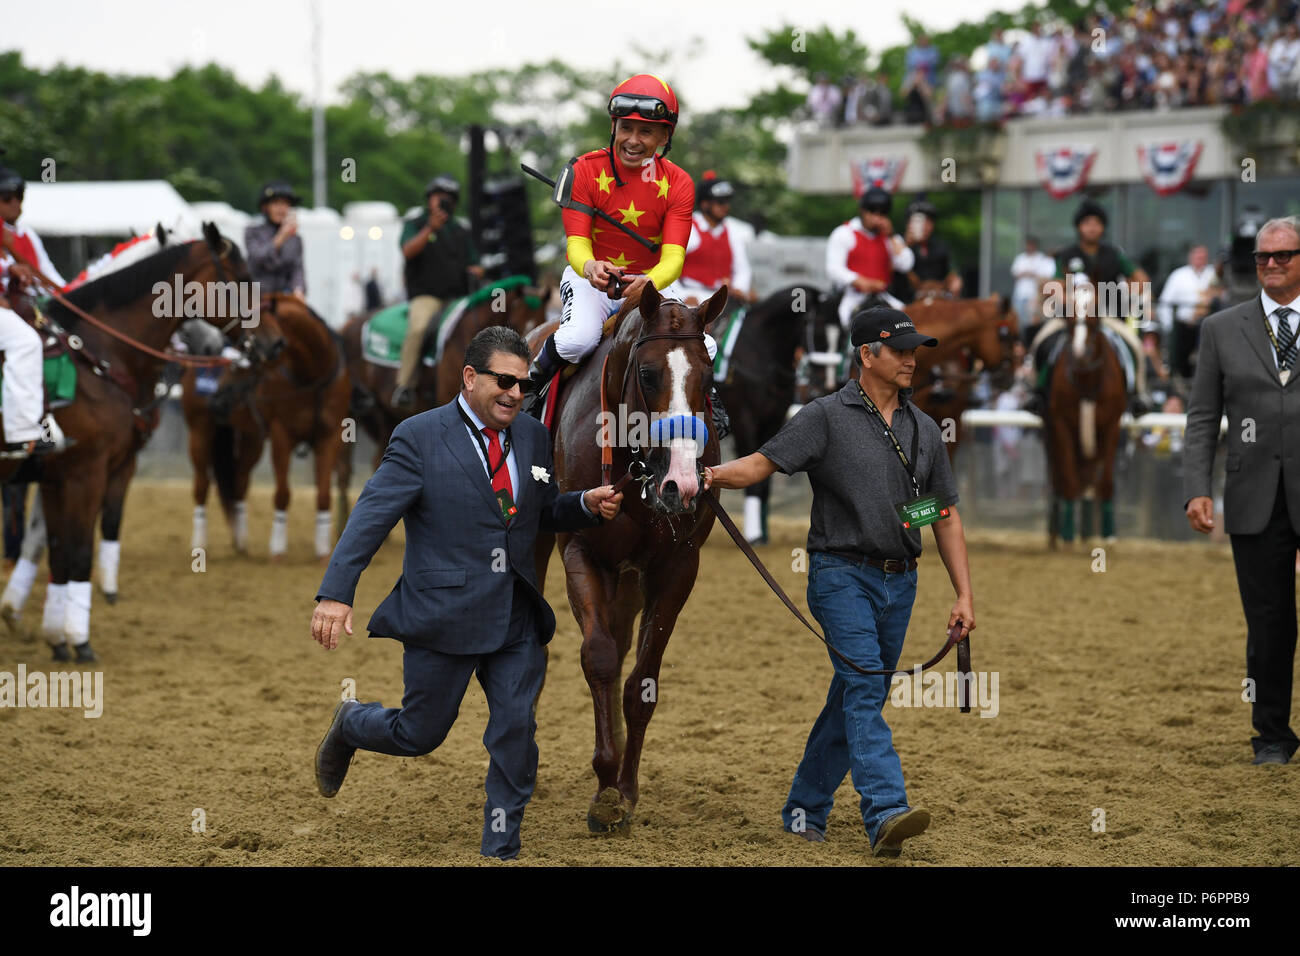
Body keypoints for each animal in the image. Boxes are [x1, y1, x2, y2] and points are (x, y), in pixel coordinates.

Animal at [185, 293, 351, 561]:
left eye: (246, 353)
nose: (219, 399)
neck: (312, 377)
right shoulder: (282, 433)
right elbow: (283, 493)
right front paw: (278, 549)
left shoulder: (331, 435)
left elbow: (324, 495)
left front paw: (323, 551)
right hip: (200, 429)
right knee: (202, 484)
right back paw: (200, 544)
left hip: (252, 437)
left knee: (240, 481)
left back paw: (242, 543)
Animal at [338, 283, 546, 522]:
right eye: (516, 320)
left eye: (542, 318)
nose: (530, 350)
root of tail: (350, 323)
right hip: (357, 414)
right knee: (346, 470)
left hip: (385, 417)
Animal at [530, 280, 733, 832]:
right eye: (647, 374)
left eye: (709, 378)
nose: (683, 483)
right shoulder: (581, 551)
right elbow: (598, 658)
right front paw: (604, 788)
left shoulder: (676, 567)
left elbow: (641, 680)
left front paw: (625, 787)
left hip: (630, 580)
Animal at [1045, 280, 1128, 548]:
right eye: (1069, 318)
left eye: (1094, 318)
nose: (1081, 354)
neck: (1087, 382)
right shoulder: (1061, 425)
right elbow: (1069, 479)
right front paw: (1068, 534)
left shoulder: (1112, 425)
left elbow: (1105, 481)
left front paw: (1108, 534)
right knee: (1059, 478)